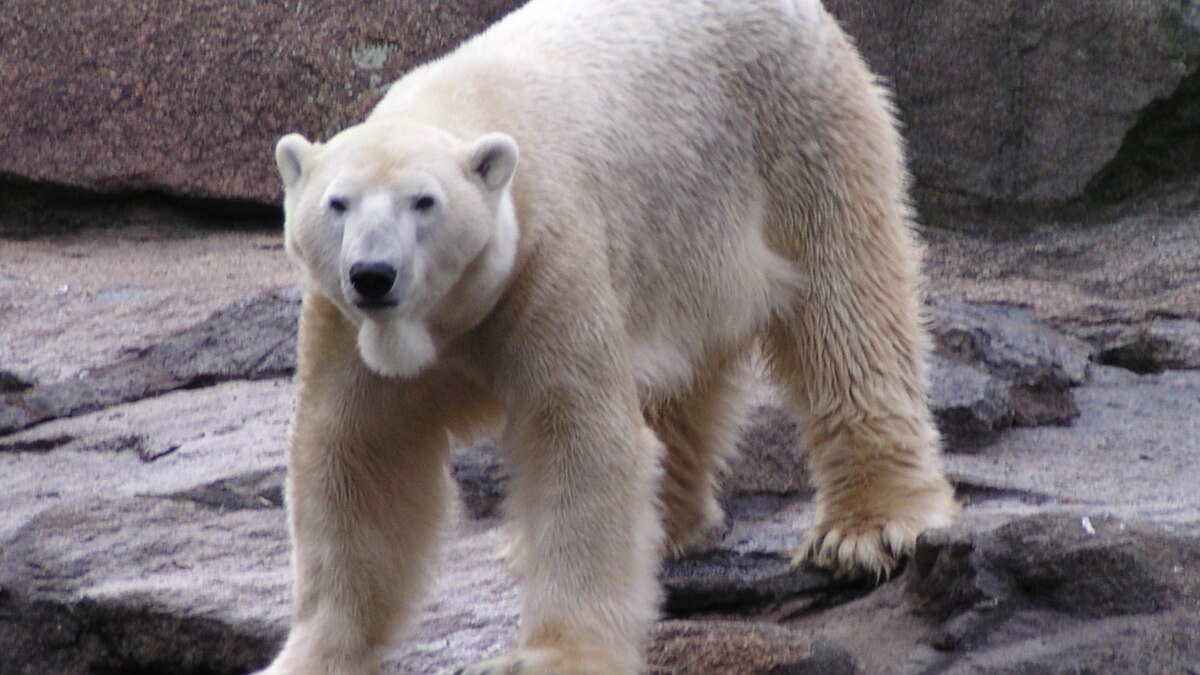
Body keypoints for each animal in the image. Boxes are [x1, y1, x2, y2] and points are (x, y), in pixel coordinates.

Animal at [260, 0, 955, 667]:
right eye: (337, 203)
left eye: (424, 202)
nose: (373, 274)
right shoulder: (346, 324)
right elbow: (357, 457)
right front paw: (313, 653)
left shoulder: (546, 259)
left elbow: (577, 436)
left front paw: (556, 654)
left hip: (794, 133)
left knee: (845, 309)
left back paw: (868, 527)